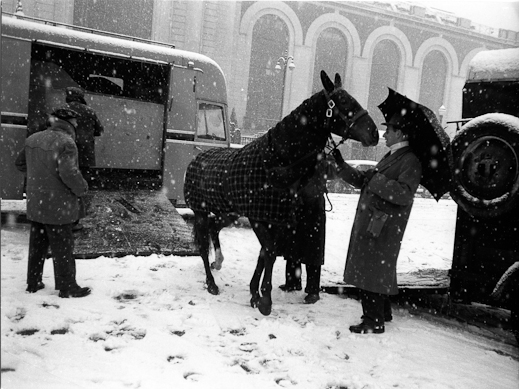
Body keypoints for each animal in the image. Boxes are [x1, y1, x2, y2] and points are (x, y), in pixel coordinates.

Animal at [185, 70, 380, 316]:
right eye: (344, 101)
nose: (374, 133)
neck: (276, 163)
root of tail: (197, 157)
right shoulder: (258, 217)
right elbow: (269, 251)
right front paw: (265, 299)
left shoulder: (276, 219)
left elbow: (266, 252)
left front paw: (255, 294)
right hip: (200, 211)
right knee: (202, 244)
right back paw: (211, 283)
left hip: (230, 211)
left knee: (214, 227)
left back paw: (218, 262)